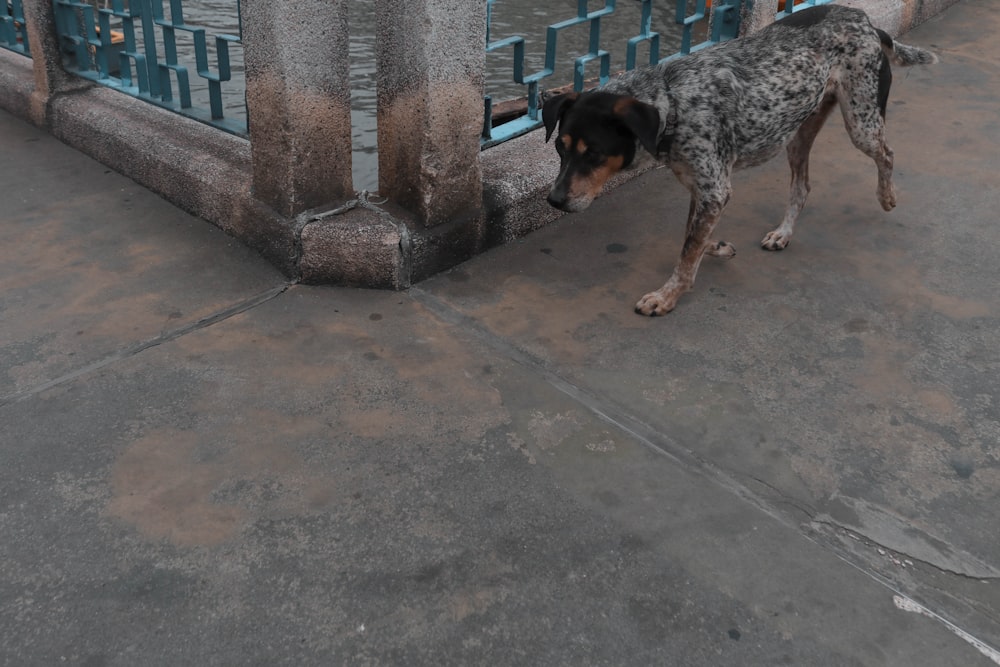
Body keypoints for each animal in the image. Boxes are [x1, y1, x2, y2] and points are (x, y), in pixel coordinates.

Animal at [544, 3, 932, 316]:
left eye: (594, 153)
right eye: (560, 148)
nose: (555, 201)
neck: (672, 102)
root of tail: (866, 21)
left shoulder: (714, 189)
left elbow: (687, 251)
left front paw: (667, 296)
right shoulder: (701, 186)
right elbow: (692, 236)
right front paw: (714, 247)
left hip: (861, 122)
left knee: (887, 154)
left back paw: (887, 196)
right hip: (798, 132)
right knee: (802, 187)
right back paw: (783, 233)